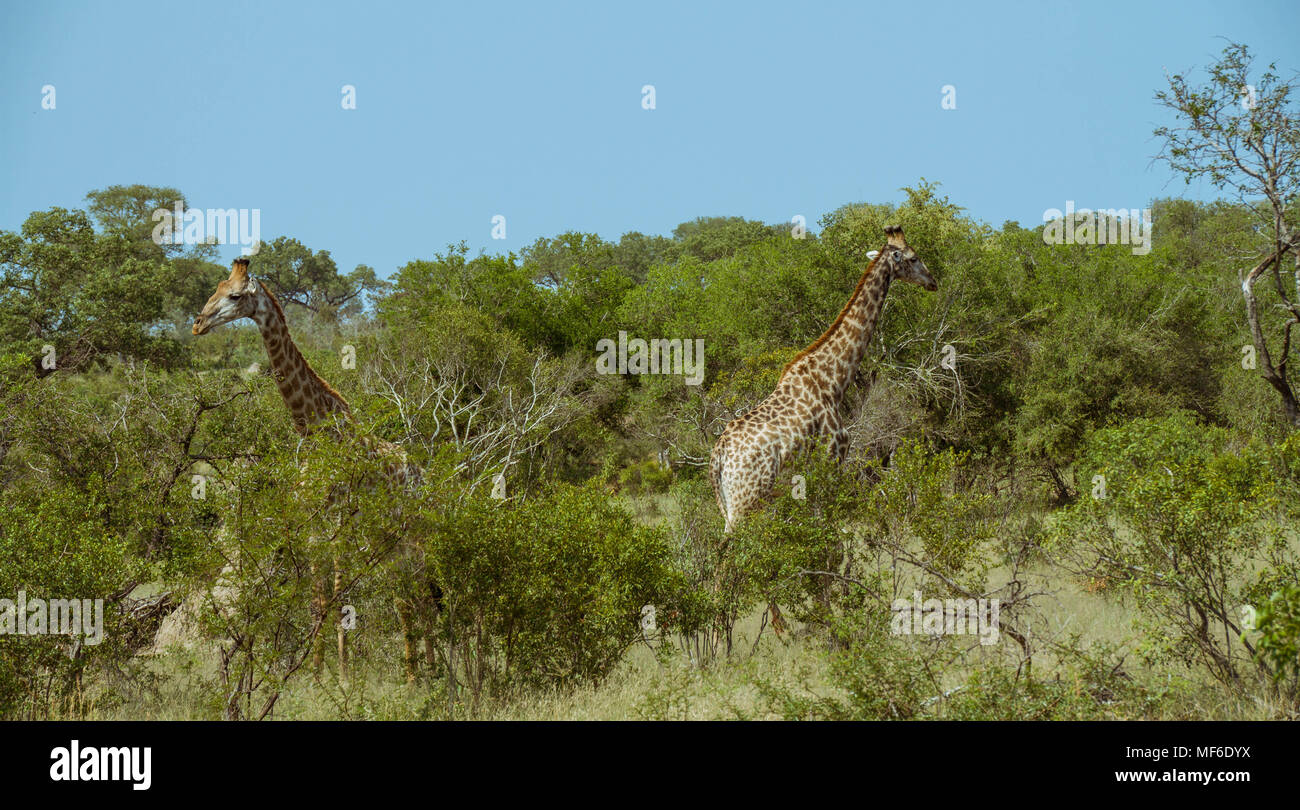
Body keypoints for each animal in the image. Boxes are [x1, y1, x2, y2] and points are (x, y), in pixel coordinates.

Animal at [192, 257, 437, 683]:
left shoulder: (339, 515)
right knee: (405, 595)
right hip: (385, 534)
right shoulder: (312, 518)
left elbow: (336, 595)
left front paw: (339, 675)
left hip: (409, 527)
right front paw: (317, 673)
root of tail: (420, 473)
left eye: (235, 296)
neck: (312, 427)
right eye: (216, 288)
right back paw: (418, 674)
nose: (198, 323)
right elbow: (319, 595)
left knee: (420, 592)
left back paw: (430, 673)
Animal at [709, 226, 936, 628]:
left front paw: (823, 605)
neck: (833, 378)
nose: (933, 282)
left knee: (741, 552)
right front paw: (832, 608)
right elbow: (831, 541)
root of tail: (717, 456)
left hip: (734, 503)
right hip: (746, 501)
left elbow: (822, 541)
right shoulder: (833, 460)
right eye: (913, 257)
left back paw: (773, 626)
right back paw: (728, 632)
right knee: (727, 555)